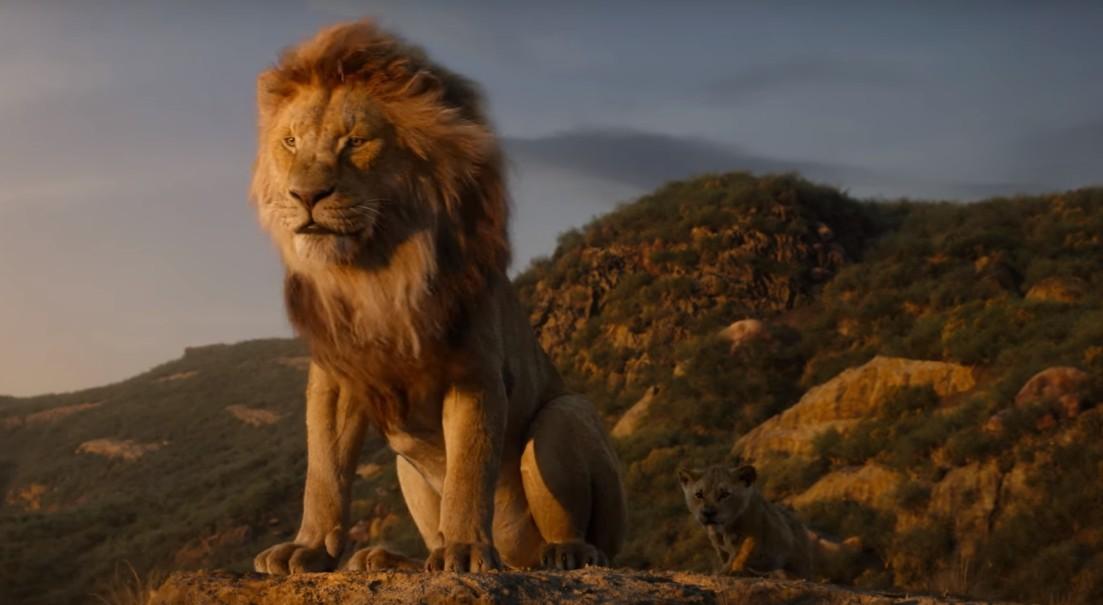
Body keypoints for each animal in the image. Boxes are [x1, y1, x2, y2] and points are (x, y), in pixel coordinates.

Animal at [248, 20, 625, 574]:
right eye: (291, 142)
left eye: (356, 141)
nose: (306, 196)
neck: (375, 271)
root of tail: (516, 559)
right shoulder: (336, 378)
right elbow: (324, 472)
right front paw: (309, 548)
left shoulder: (475, 370)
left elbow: (468, 469)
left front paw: (465, 550)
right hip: (407, 466)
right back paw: (387, 559)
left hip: (566, 415)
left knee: (586, 532)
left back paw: (566, 552)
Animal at [678, 464, 868, 580]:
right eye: (699, 494)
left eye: (724, 494)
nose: (707, 513)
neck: (723, 529)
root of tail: (804, 528)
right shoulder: (720, 547)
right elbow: (728, 557)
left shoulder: (753, 535)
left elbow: (740, 555)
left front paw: (728, 571)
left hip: (799, 560)